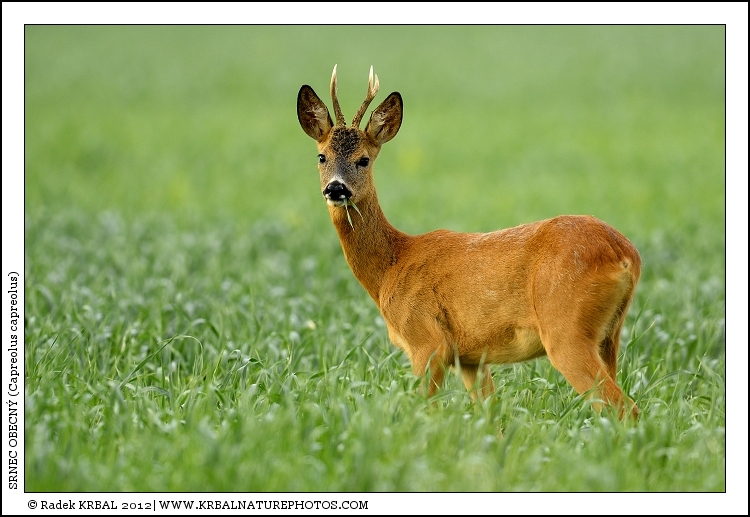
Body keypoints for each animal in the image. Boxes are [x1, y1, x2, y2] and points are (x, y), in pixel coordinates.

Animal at [297, 65, 641, 419]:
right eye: (321, 156)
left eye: (364, 159)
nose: (336, 188)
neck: (391, 266)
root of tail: (625, 254)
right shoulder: (471, 358)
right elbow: (491, 417)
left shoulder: (428, 340)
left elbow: (426, 411)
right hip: (609, 335)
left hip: (566, 328)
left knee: (624, 408)